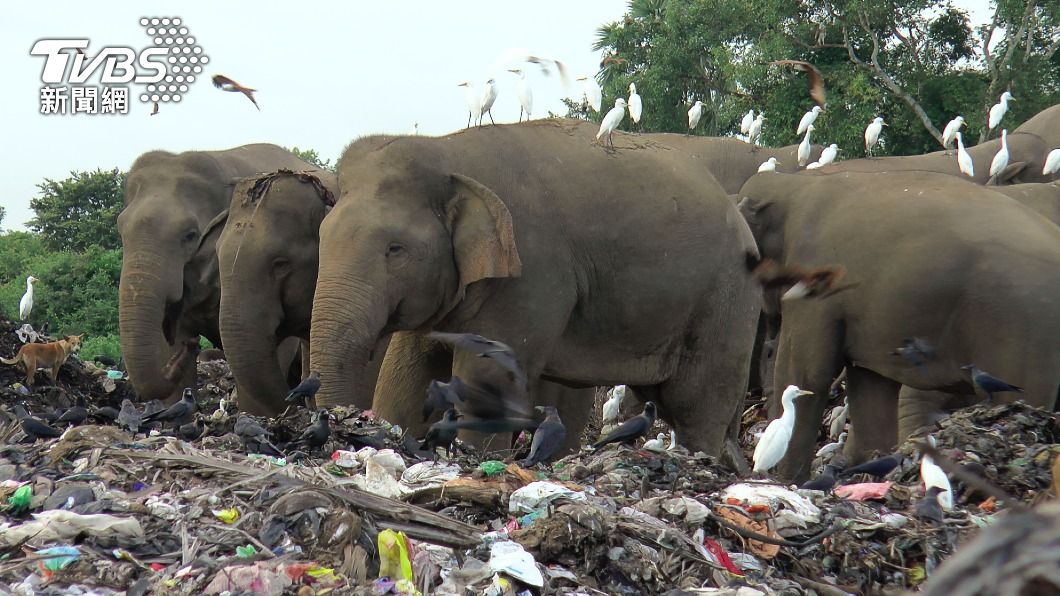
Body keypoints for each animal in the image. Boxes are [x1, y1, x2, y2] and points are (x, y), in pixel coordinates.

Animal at [309, 119, 762, 456]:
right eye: (322, 235)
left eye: (395, 249)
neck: (448, 150)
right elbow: (408, 376)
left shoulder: (530, 272)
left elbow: (487, 378)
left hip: (728, 299)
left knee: (695, 404)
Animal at [738, 170, 1060, 482]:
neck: (794, 183)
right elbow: (869, 386)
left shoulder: (817, 284)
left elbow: (806, 373)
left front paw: (787, 480)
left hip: (1020, 324)